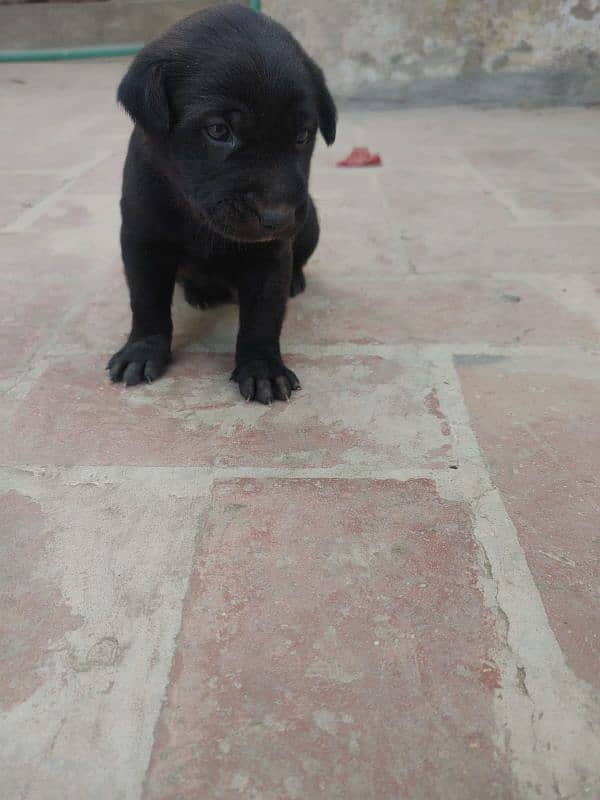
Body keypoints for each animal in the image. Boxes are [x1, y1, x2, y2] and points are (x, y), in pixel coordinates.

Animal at [108, 3, 338, 404]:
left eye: (302, 136)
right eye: (218, 131)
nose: (277, 217)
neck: (197, 219)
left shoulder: (269, 254)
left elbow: (263, 314)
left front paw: (262, 367)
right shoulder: (142, 240)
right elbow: (146, 300)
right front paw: (142, 349)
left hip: (310, 224)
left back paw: (294, 280)